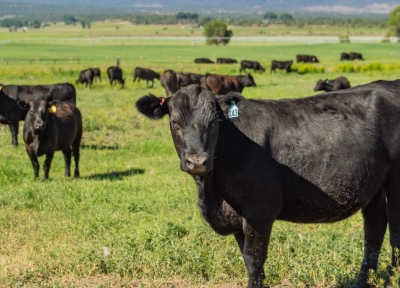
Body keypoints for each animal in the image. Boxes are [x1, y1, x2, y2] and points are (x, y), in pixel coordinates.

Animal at [135, 80, 400, 288]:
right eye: (175, 122)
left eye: (213, 122)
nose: (197, 160)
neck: (211, 192)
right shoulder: (237, 217)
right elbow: (247, 259)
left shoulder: (259, 211)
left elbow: (254, 259)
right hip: (372, 185)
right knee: (374, 232)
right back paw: (362, 282)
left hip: (395, 180)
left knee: (395, 234)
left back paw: (390, 280)